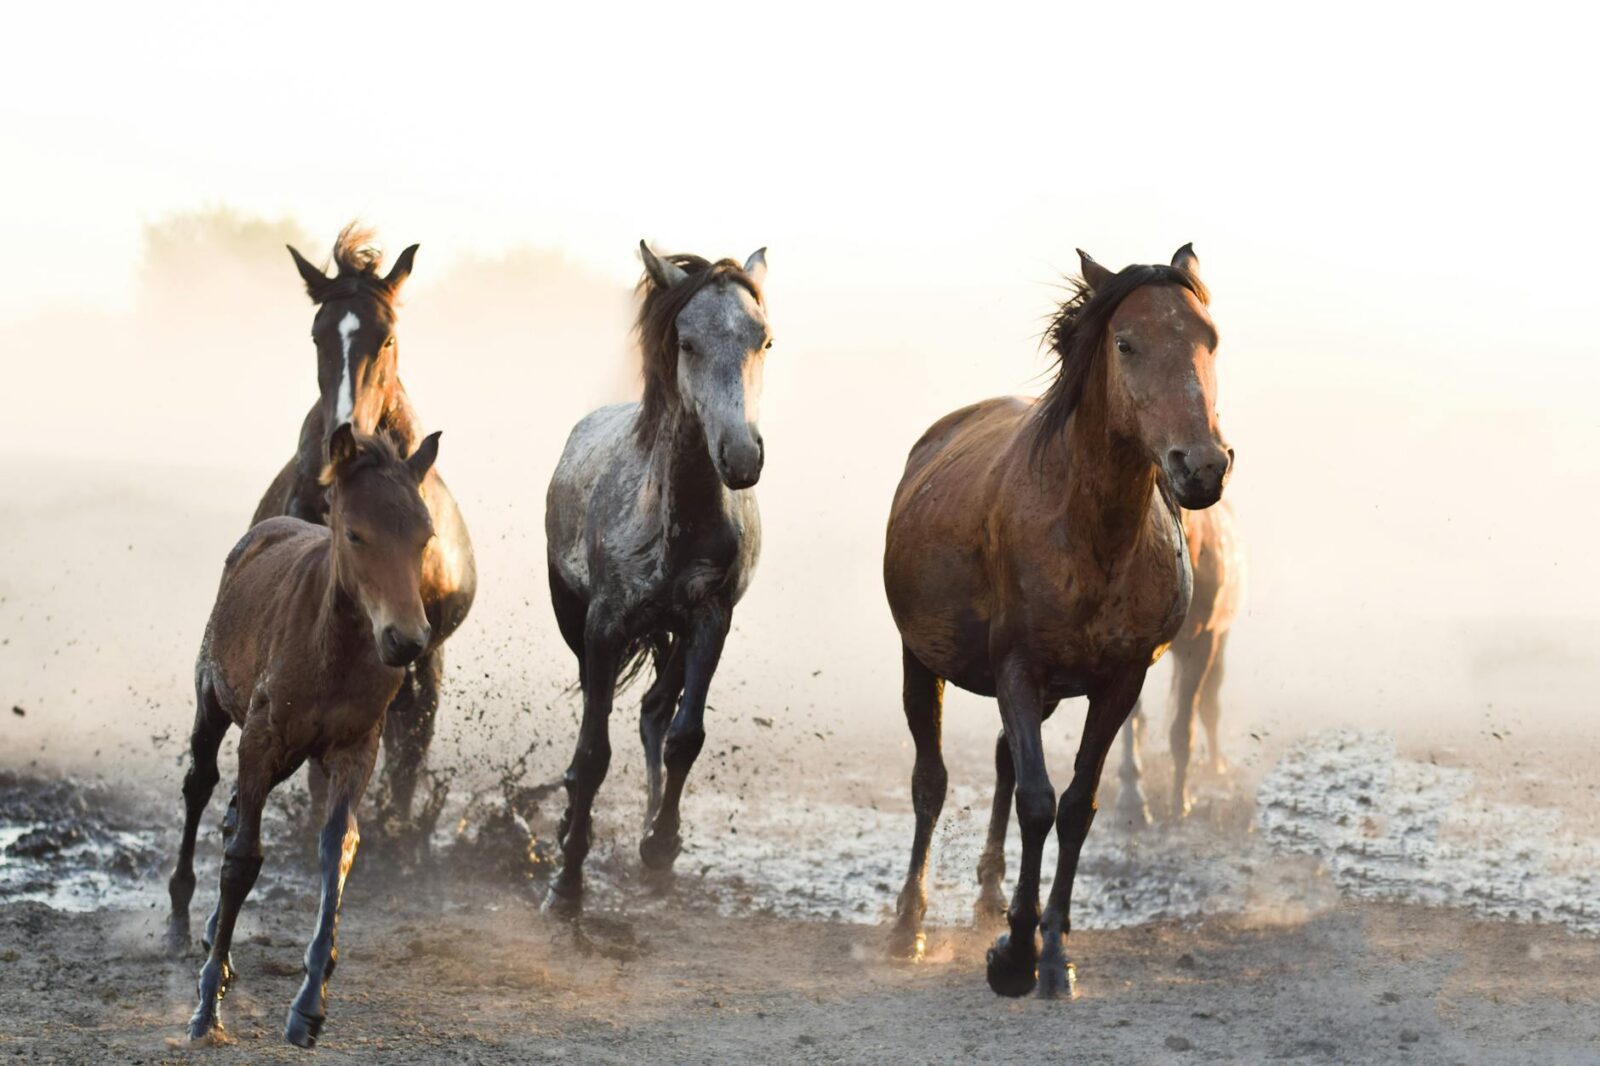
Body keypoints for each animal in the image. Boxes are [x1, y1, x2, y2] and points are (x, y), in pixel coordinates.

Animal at [166, 425, 442, 1047]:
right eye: (357, 534)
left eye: (425, 537)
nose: (407, 640)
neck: (332, 650)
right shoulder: (262, 739)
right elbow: (243, 858)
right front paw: (206, 1008)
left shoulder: (354, 748)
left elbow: (337, 847)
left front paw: (309, 1006)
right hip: (213, 702)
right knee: (201, 787)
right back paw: (178, 922)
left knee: (232, 808)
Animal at [543, 241, 770, 915]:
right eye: (687, 343)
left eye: (763, 340)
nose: (741, 457)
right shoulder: (604, 626)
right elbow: (592, 754)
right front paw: (566, 882)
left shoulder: (710, 619)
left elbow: (684, 736)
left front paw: (662, 844)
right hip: (574, 621)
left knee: (654, 710)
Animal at [882, 245, 1232, 998]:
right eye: (1126, 343)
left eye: (1210, 340)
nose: (1202, 467)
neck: (1090, 534)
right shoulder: (1018, 669)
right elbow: (1037, 800)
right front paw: (1015, 955)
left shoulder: (1120, 682)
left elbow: (1074, 805)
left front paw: (1051, 952)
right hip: (921, 662)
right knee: (931, 784)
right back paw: (908, 927)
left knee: (1003, 762)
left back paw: (992, 898)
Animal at [1115, 501, 1246, 826]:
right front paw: (1132, 798)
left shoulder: (1202, 644)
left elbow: (1183, 727)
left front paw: (1180, 802)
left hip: (1220, 640)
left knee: (1210, 704)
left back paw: (1216, 767)